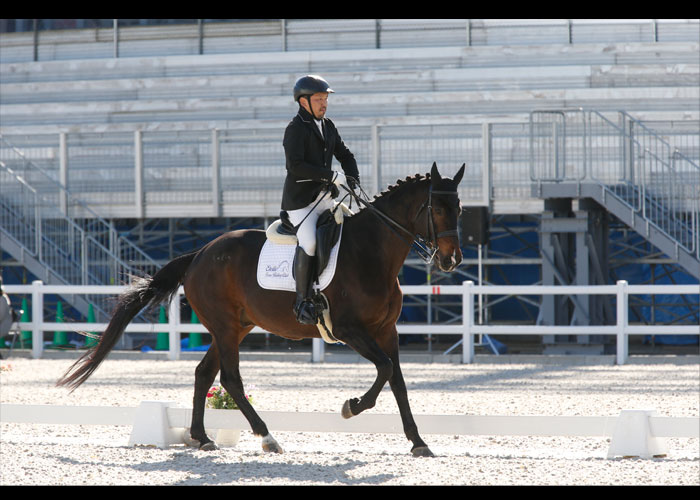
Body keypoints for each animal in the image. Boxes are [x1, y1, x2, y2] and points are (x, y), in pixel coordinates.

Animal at [57, 163, 464, 458]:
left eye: (459, 209)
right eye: (437, 209)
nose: (451, 260)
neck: (371, 252)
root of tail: (201, 253)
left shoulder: (385, 331)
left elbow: (397, 380)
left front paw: (418, 442)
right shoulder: (350, 330)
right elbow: (386, 369)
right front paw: (352, 406)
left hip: (236, 327)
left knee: (204, 373)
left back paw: (202, 437)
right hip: (224, 327)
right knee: (229, 379)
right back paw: (267, 437)